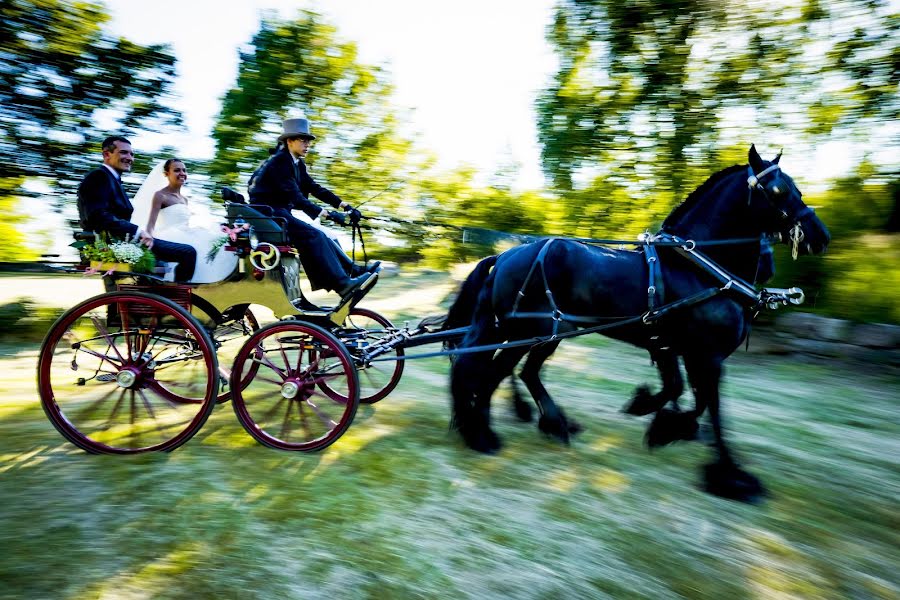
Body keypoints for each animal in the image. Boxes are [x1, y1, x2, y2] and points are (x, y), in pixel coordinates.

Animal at [446, 145, 832, 502]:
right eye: (779, 190)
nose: (821, 235)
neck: (699, 268)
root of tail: (504, 255)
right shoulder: (706, 356)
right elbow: (713, 408)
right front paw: (730, 476)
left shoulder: (671, 347)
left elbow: (682, 392)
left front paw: (658, 419)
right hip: (529, 332)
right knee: (491, 375)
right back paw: (484, 435)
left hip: (542, 333)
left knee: (514, 373)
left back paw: (551, 424)